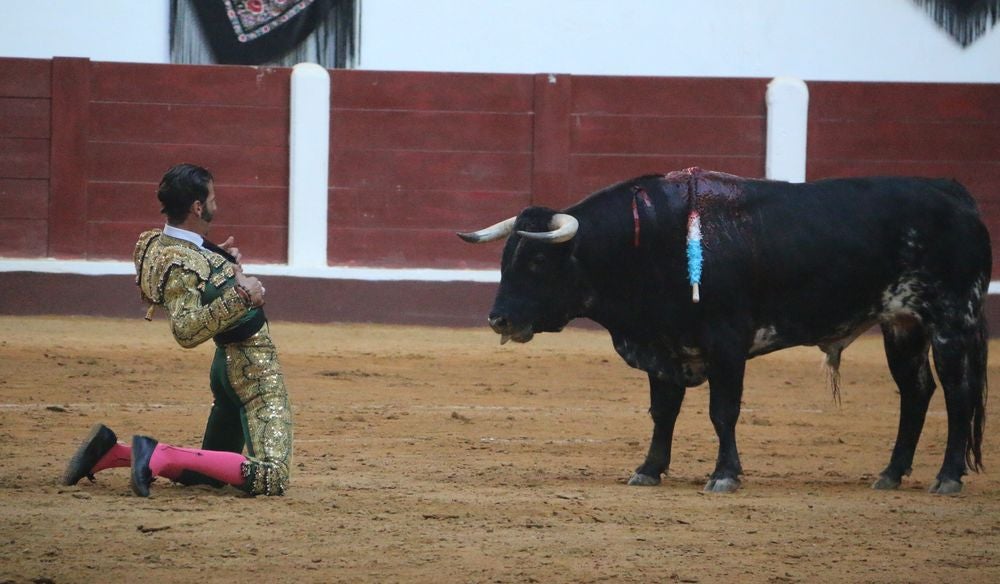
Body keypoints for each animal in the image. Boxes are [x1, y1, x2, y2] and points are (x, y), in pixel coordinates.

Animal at [460, 168, 992, 492]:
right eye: (505, 260)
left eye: (536, 262)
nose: (498, 319)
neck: (651, 243)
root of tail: (955, 193)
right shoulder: (664, 347)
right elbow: (663, 413)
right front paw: (648, 470)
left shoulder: (727, 345)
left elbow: (723, 412)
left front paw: (724, 476)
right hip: (902, 324)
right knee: (916, 391)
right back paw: (891, 473)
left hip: (950, 319)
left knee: (958, 392)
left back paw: (947, 478)